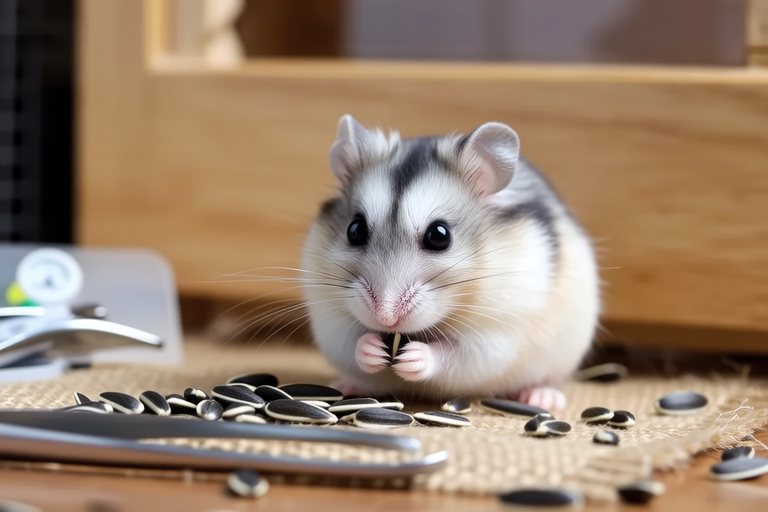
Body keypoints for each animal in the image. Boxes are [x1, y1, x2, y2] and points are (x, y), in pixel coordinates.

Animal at [301, 115, 600, 410]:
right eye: (355, 230)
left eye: (439, 236)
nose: (385, 318)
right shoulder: (330, 320)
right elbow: (351, 340)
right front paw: (372, 349)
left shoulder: (494, 335)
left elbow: (455, 354)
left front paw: (413, 357)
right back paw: (345, 386)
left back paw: (542, 399)